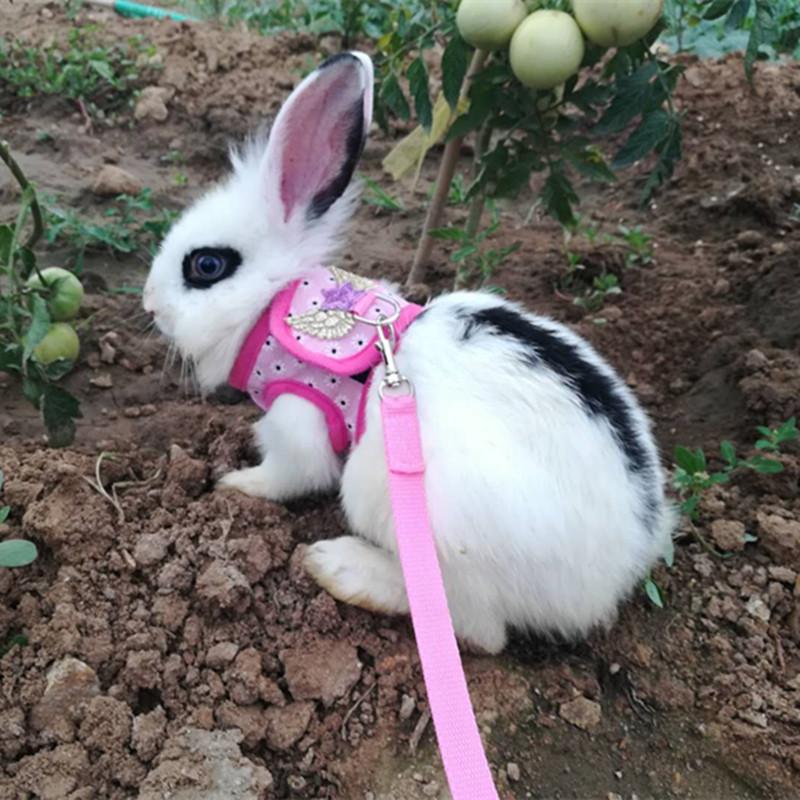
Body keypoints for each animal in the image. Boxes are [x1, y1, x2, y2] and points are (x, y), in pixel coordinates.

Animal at [143, 52, 675, 655]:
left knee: (476, 627)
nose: (150, 304)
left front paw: (236, 485)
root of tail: (612, 578)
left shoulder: (298, 419)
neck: (275, 305)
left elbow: (288, 475)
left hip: (403, 505)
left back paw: (341, 567)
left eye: (206, 266)